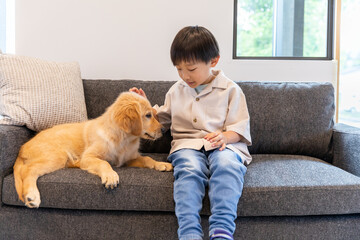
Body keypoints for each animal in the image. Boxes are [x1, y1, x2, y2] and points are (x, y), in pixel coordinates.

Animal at [13, 92, 172, 208]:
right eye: (148, 115)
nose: (164, 130)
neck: (123, 139)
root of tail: (22, 148)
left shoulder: (128, 159)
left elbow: (147, 158)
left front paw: (161, 164)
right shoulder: (89, 157)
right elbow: (104, 163)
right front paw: (110, 176)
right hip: (57, 156)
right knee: (28, 170)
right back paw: (32, 195)